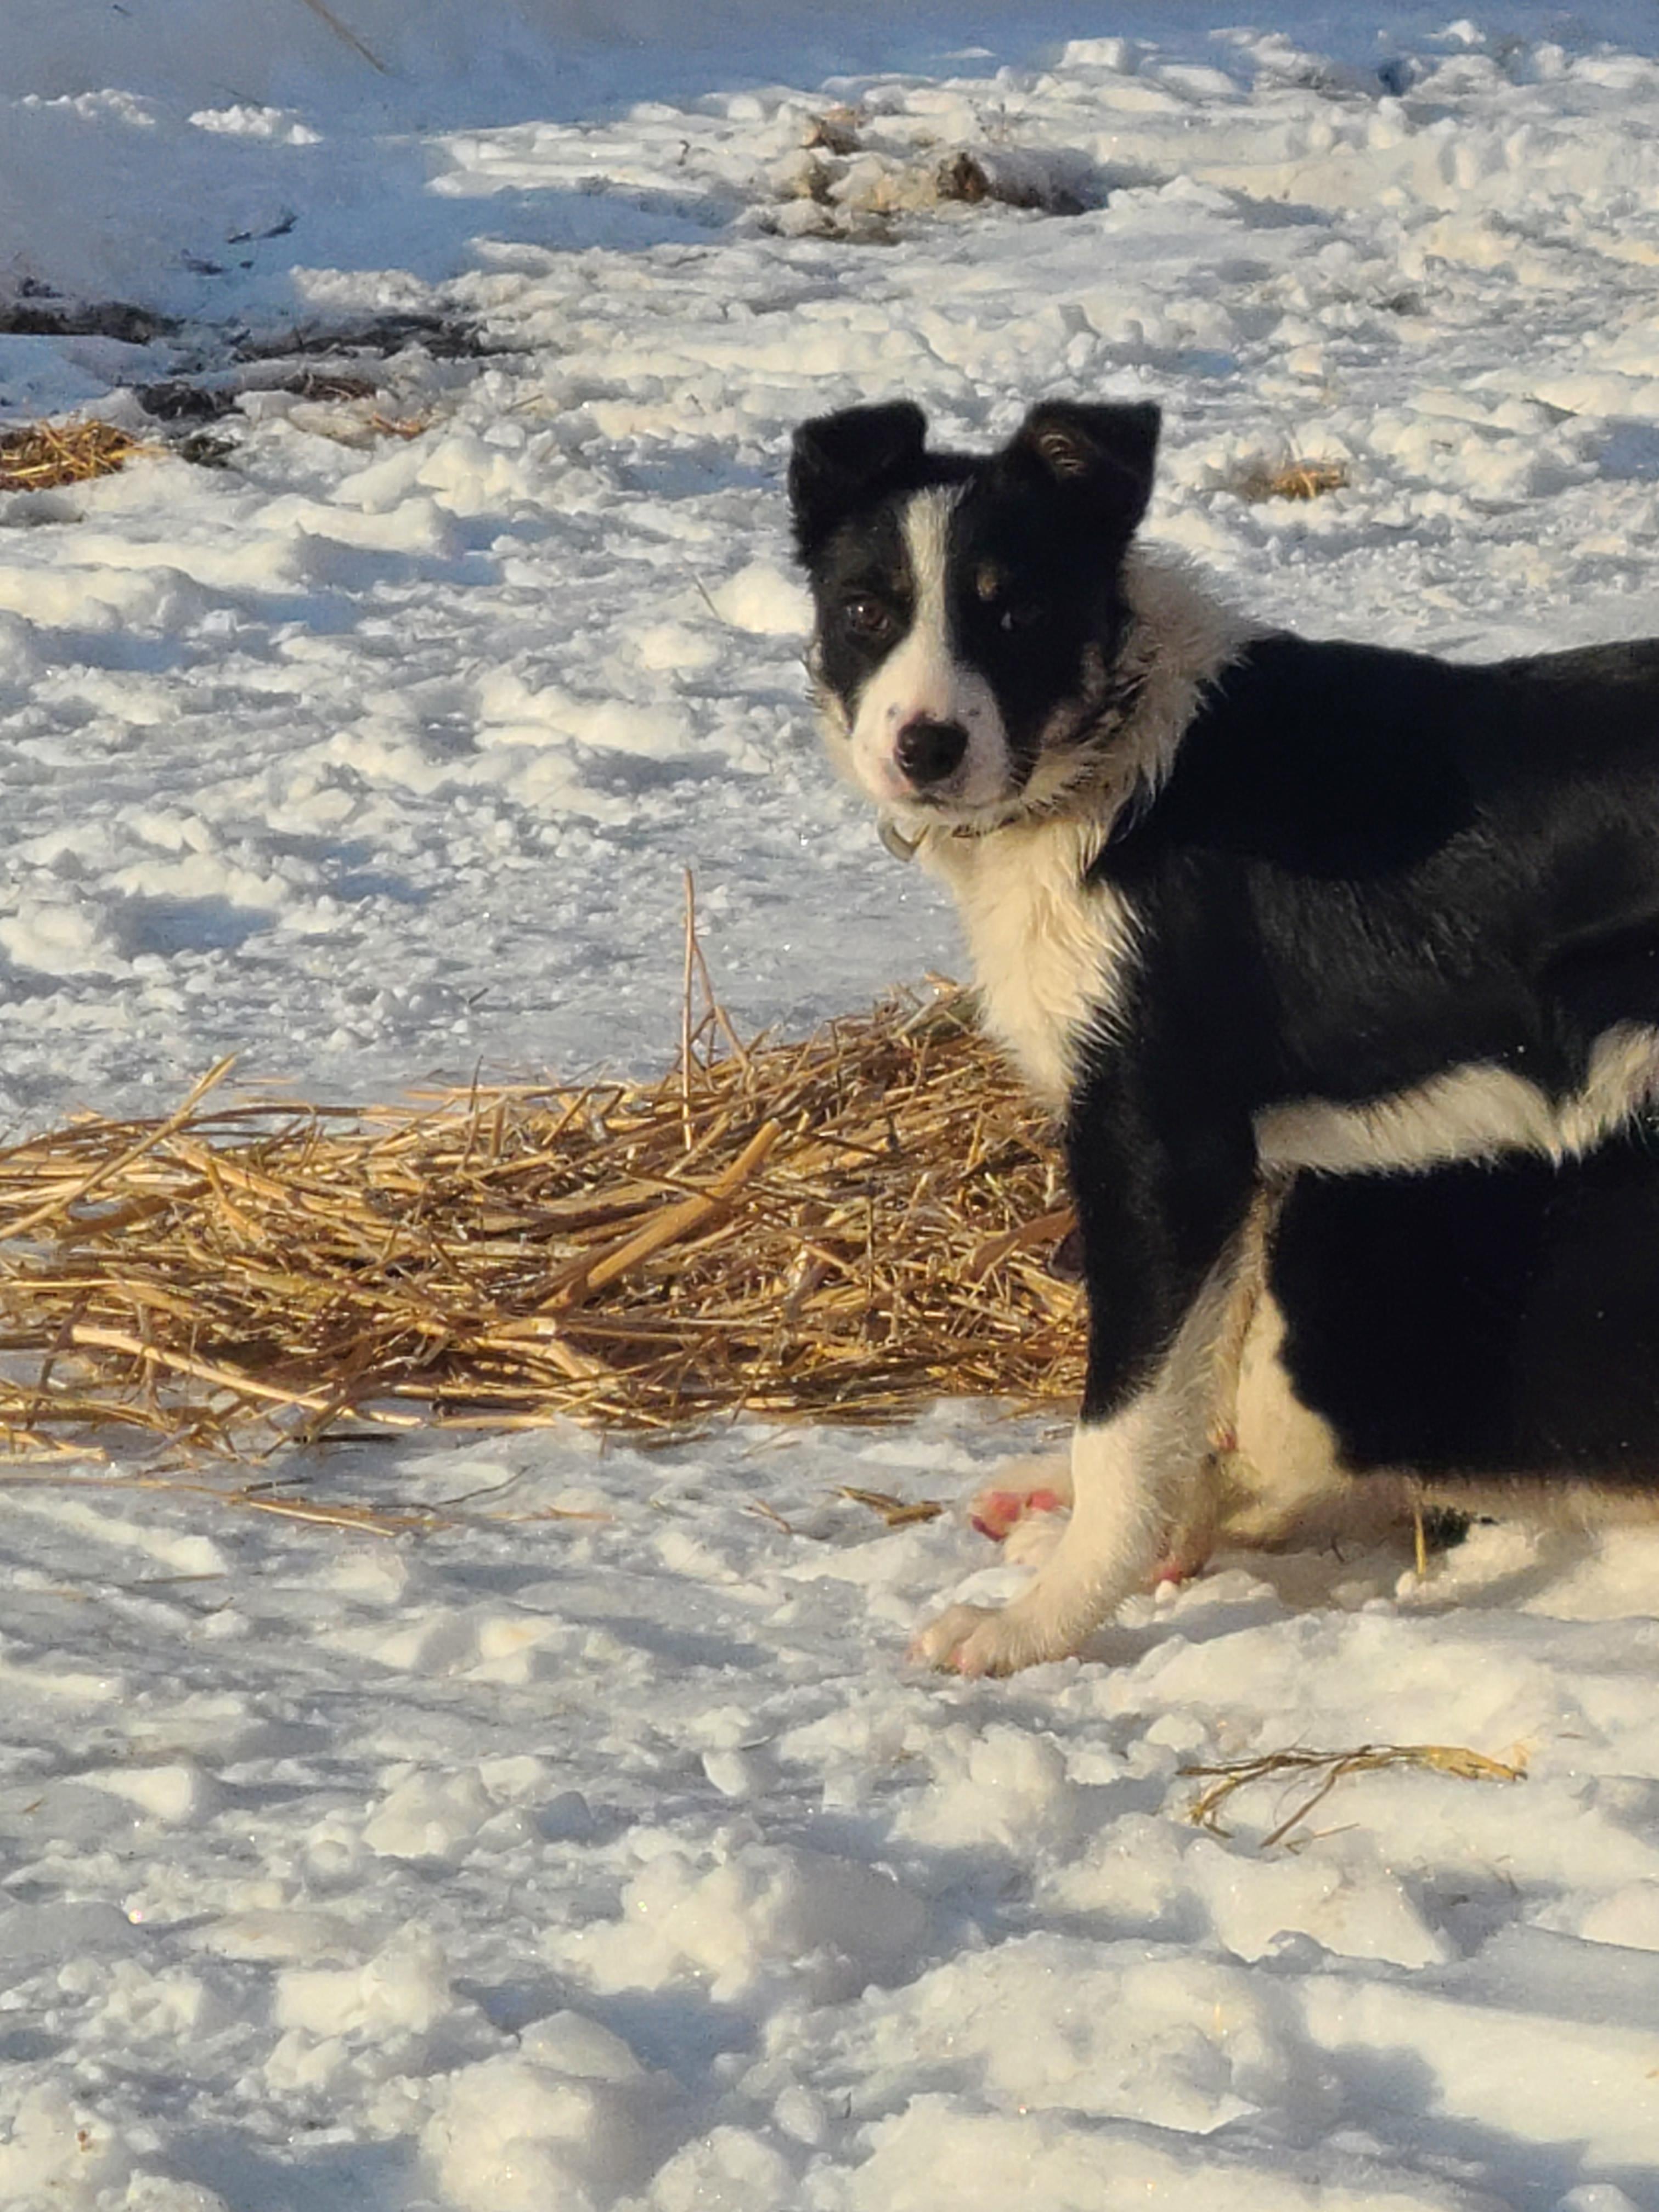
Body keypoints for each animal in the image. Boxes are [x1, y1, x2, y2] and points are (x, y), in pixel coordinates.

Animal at [787, 398, 1659, 1672]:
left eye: (1016, 609)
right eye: (865, 610)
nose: (927, 748)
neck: (1107, 773)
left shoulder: (1158, 1145)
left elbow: (1127, 1423)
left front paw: (1037, 1625)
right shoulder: (1249, 1172)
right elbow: (1194, 1390)